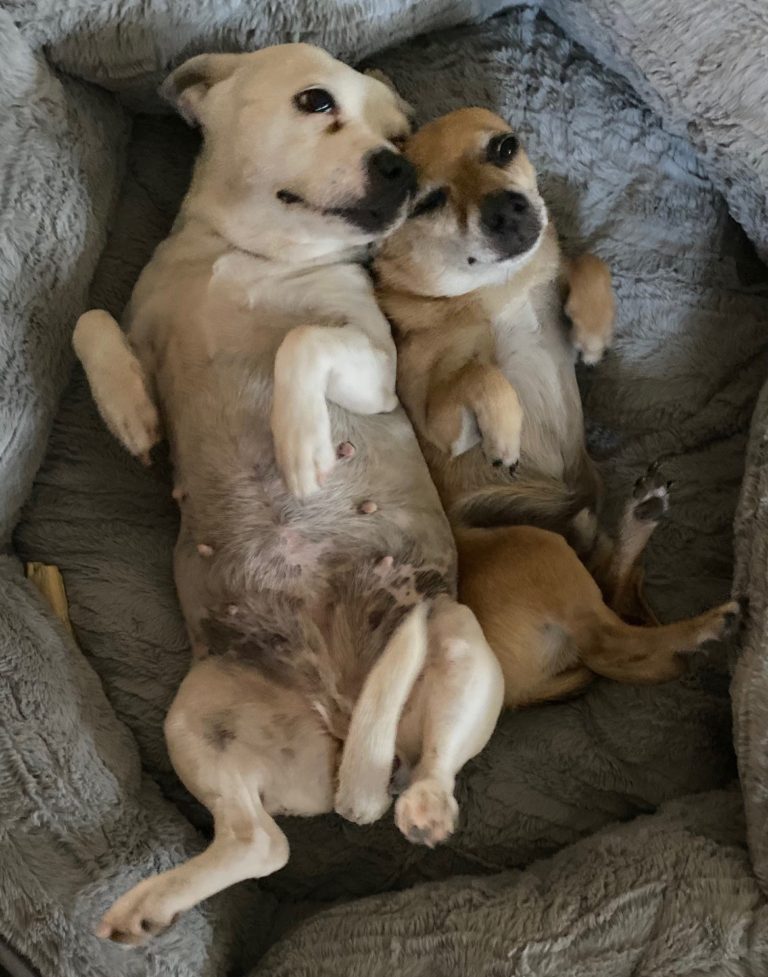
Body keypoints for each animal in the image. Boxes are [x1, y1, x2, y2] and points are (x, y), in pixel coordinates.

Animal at [376, 107, 740, 704]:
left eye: (504, 147)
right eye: (428, 201)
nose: (505, 206)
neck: (499, 288)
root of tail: (514, 695)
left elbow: (586, 261)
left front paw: (593, 327)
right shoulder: (437, 418)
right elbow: (480, 372)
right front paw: (506, 431)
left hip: (576, 549)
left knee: (618, 598)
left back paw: (641, 519)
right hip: (537, 549)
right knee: (618, 643)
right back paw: (705, 626)